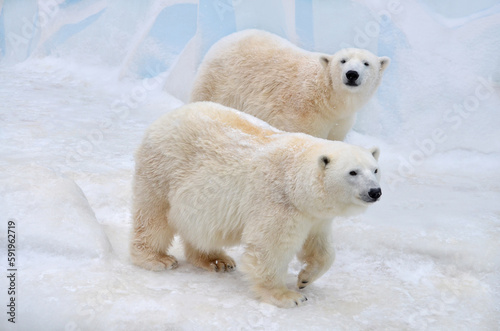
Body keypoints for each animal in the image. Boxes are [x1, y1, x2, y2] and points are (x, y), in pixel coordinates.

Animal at [130, 102, 382, 308]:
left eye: (375, 169)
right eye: (353, 172)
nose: (375, 192)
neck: (295, 181)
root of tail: (164, 119)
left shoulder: (313, 215)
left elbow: (320, 247)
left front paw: (305, 278)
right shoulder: (278, 202)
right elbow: (269, 248)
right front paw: (288, 296)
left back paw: (216, 260)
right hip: (162, 171)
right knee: (153, 216)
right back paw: (156, 258)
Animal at [191, 28, 390, 141]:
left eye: (366, 63)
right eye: (343, 60)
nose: (352, 74)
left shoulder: (341, 120)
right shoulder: (301, 114)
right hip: (219, 82)